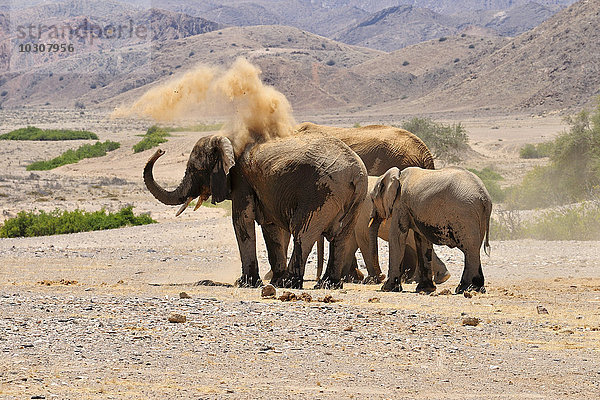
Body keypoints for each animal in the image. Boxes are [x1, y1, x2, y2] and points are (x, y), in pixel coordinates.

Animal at [144, 136, 368, 290]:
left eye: (194, 170)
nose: (160, 150)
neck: (227, 140)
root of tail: (355, 175)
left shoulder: (241, 180)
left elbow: (241, 222)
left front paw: (246, 283)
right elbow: (271, 229)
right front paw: (273, 280)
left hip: (319, 193)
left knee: (303, 234)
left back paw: (289, 283)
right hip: (356, 199)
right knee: (341, 238)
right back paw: (327, 285)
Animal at [370, 166, 492, 294]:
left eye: (372, 199)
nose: (381, 276)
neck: (398, 174)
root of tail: (485, 197)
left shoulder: (401, 204)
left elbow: (396, 236)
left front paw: (387, 288)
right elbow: (421, 240)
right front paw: (425, 289)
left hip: (465, 212)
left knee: (470, 249)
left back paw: (465, 289)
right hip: (478, 215)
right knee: (474, 249)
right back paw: (474, 289)